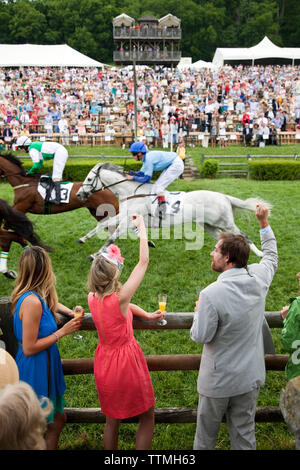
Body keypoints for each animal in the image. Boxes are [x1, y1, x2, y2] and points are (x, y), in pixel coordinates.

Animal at [75, 161, 272, 258]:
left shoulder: (128, 221)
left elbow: (112, 238)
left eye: (89, 178)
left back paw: (260, 254)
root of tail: (224, 197)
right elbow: (102, 225)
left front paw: (95, 254)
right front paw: (82, 239)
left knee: (244, 236)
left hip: (226, 223)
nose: (79, 194)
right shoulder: (123, 216)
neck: (131, 192)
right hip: (210, 225)